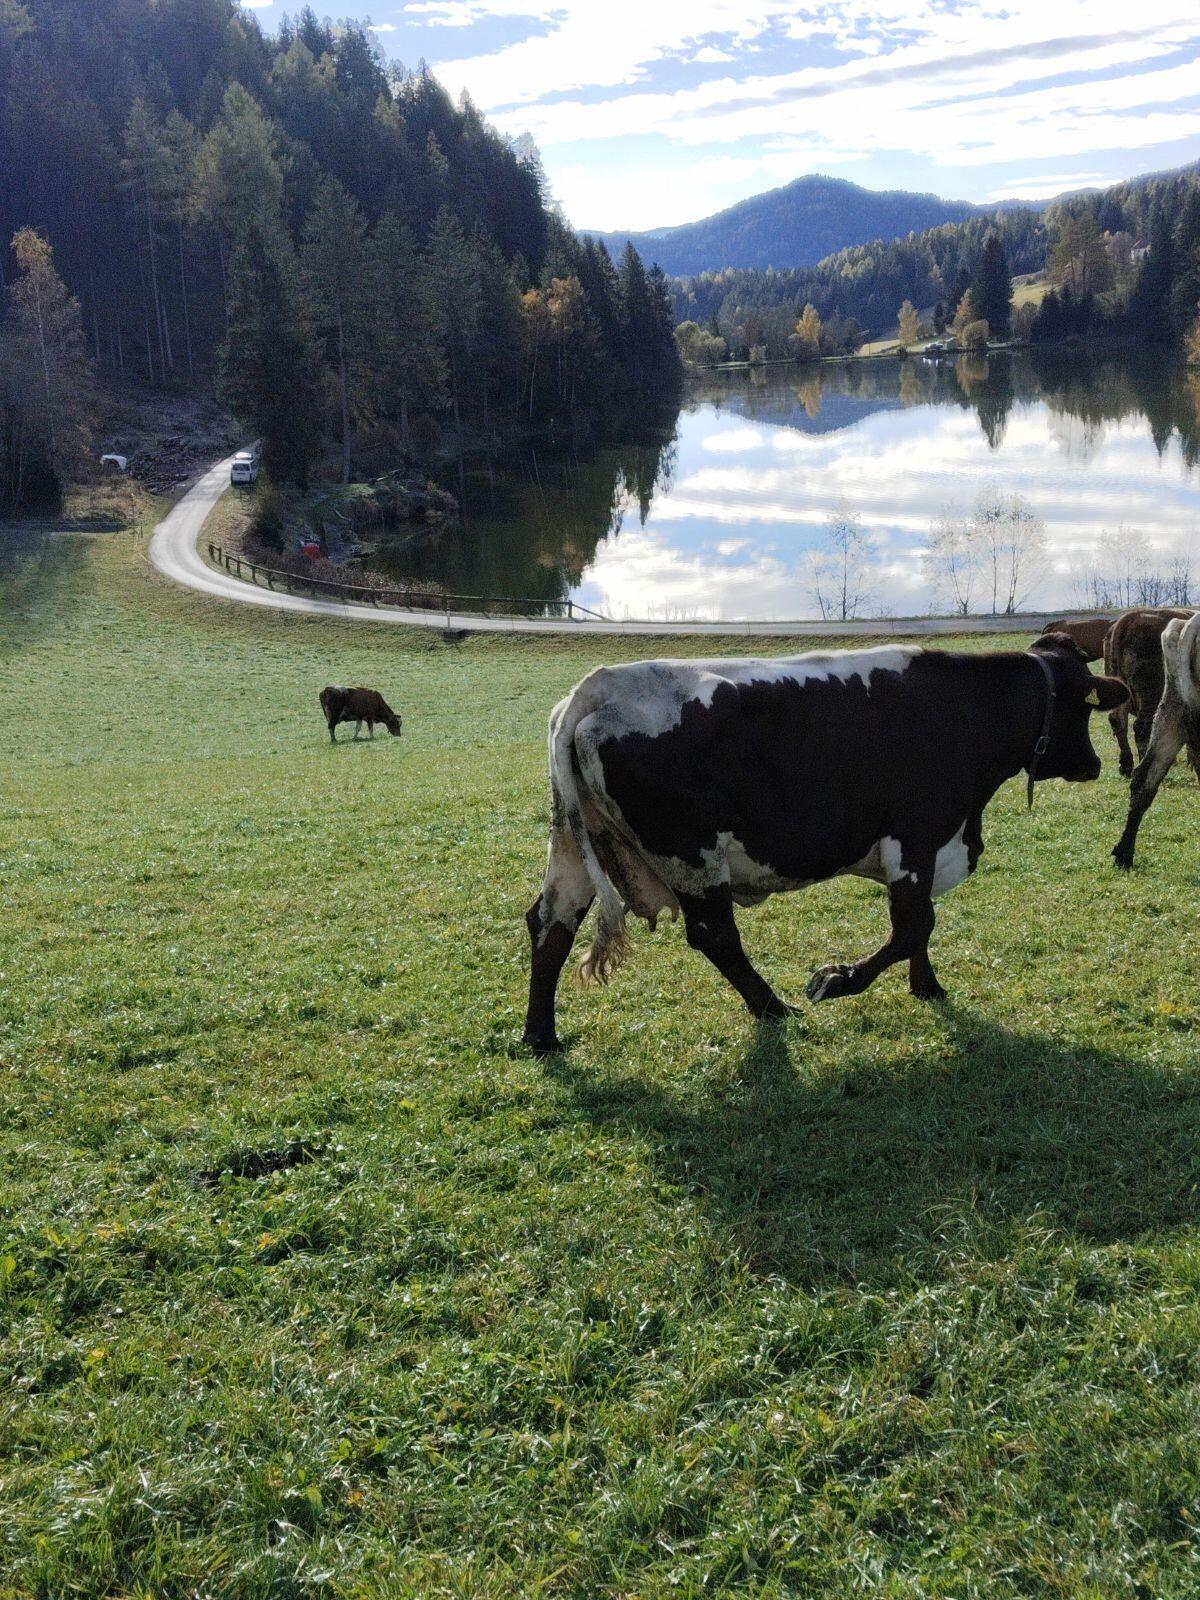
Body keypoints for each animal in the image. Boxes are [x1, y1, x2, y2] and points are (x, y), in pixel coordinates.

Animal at [522, 637, 1129, 1054]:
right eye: (1086, 705)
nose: (1094, 765)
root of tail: (596, 687)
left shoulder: (931, 849)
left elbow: (921, 928)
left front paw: (927, 987)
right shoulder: (915, 840)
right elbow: (913, 927)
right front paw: (836, 981)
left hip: (574, 846)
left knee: (551, 924)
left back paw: (541, 1036)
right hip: (691, 854)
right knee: (714, 934)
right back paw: (774, 1008)